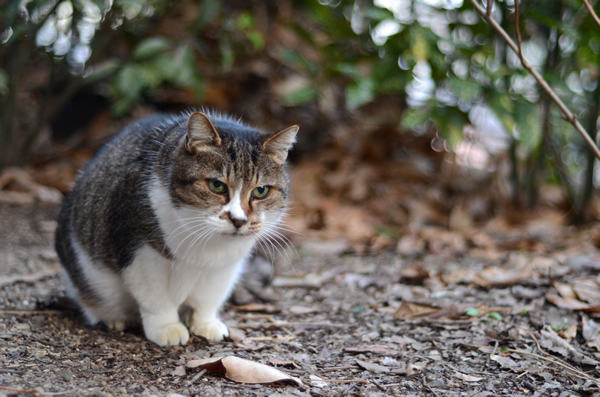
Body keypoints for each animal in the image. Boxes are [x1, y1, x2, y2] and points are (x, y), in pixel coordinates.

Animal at [55, 110, 298, 344]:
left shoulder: (224, 268)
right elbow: (156, 297)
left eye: (261, 191)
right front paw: (166, 328)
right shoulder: (140, 253)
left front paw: (205, 323)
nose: (239, 220)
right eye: (216, 185)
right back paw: (115, 318)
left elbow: (209, 298)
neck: (209, 244)